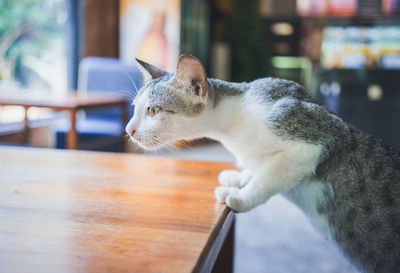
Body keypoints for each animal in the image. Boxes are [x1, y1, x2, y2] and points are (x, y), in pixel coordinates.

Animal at [126, 54, 400, 270]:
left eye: (153, 110)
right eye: (134, 108)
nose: (129, 130)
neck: (235, 131)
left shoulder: (317, 142)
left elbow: (268, 178)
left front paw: (240, 196)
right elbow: (257, 169)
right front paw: (240, 178)